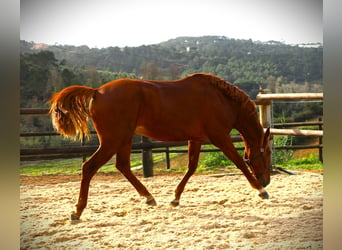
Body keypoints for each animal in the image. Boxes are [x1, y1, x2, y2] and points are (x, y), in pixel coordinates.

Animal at [49, 73, 272, 220]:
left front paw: (175, 199)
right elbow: (239, 162)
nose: (267, 180)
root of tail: (97, 92)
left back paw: (149, 198)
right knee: (89, 167)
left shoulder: (196, 139)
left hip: (124, 139)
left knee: (123, 166)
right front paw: (260, 191)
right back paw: (77, 211)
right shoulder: (220, 137)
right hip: (113, 140)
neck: (220, 99)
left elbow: (191, 167)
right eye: (268, 152)